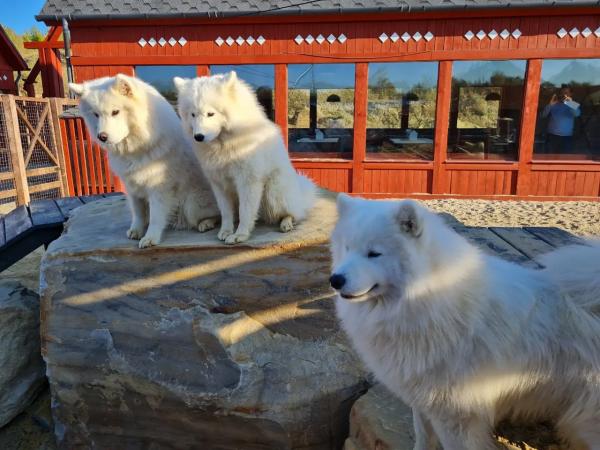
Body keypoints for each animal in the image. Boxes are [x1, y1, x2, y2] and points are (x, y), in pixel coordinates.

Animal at [68, 75, 218, 248]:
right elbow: (138, 213)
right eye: (95, 114)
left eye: (115, 112)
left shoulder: (159, 188)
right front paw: (137, 230)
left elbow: (155, 217)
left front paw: (150, 238)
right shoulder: (132, 187)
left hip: (191, 205)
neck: (135, 149)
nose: (102, 136)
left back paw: (206, 223)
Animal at [173, 71, 316, 244]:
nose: (198, 137)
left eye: (210, 114)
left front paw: (240, 234)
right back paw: (207, 222)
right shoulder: (219, 184)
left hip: (273, 193)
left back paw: (286, 222)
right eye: (193, 114)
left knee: (293, 213)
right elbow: (226, 213)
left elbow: (245, 212)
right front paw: (226, 231)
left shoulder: (248, 181)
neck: (224, 144)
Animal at [332, 195, 600, 450]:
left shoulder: (457, 415)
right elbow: (422, 437)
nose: (335, 279)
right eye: (347, 248)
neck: (427, 300)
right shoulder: (422, 399)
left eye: (374, 253)